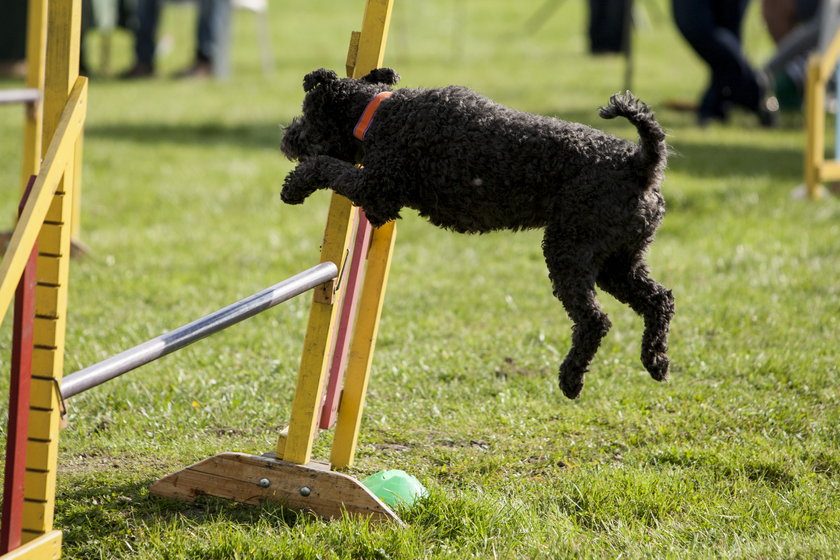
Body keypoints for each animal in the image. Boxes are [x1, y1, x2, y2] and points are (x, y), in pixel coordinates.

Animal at [282, 68, 676, 398]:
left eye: (307, 114)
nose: (286, 137)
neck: (380, 113)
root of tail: (640, 163)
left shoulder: (377, 190)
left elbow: (326, 166)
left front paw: (295, 185)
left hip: (569, 250)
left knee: (594, 321)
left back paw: (571, 378)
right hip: (617, 263)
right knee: (659, 300)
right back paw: (656, 362)